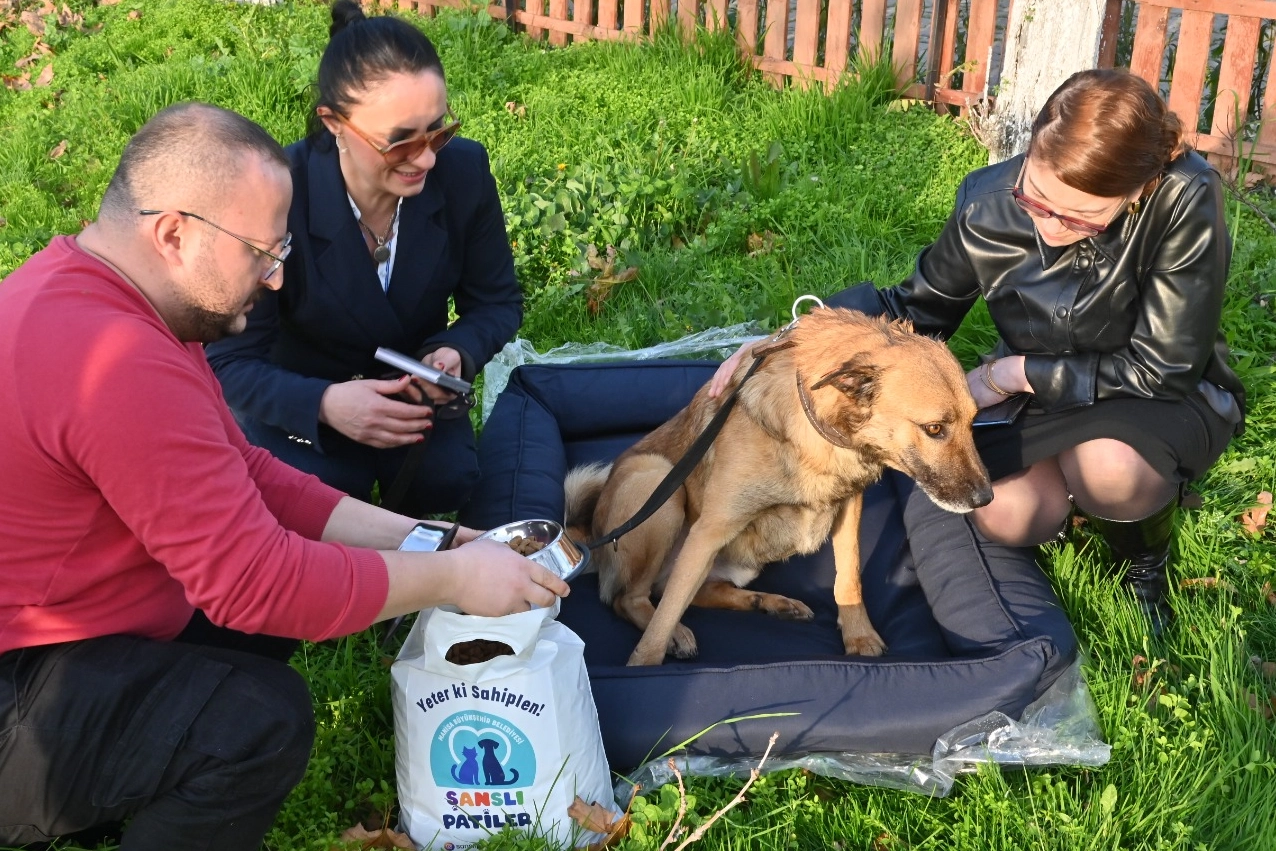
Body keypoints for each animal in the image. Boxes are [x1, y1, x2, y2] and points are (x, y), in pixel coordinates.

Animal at [563, 310, 990, 668]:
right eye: (934, 428)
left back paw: (769, 602)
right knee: (633, 599)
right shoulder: (708, 531)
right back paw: (677, 635)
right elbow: (664, 617)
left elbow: (848, 576)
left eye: (974, 421)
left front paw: (859, 636)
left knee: (693, 592)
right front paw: (644, 664)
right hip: (658, 485)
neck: (816, 428)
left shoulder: (849, 506)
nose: (985, 499)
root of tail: (588, 535)